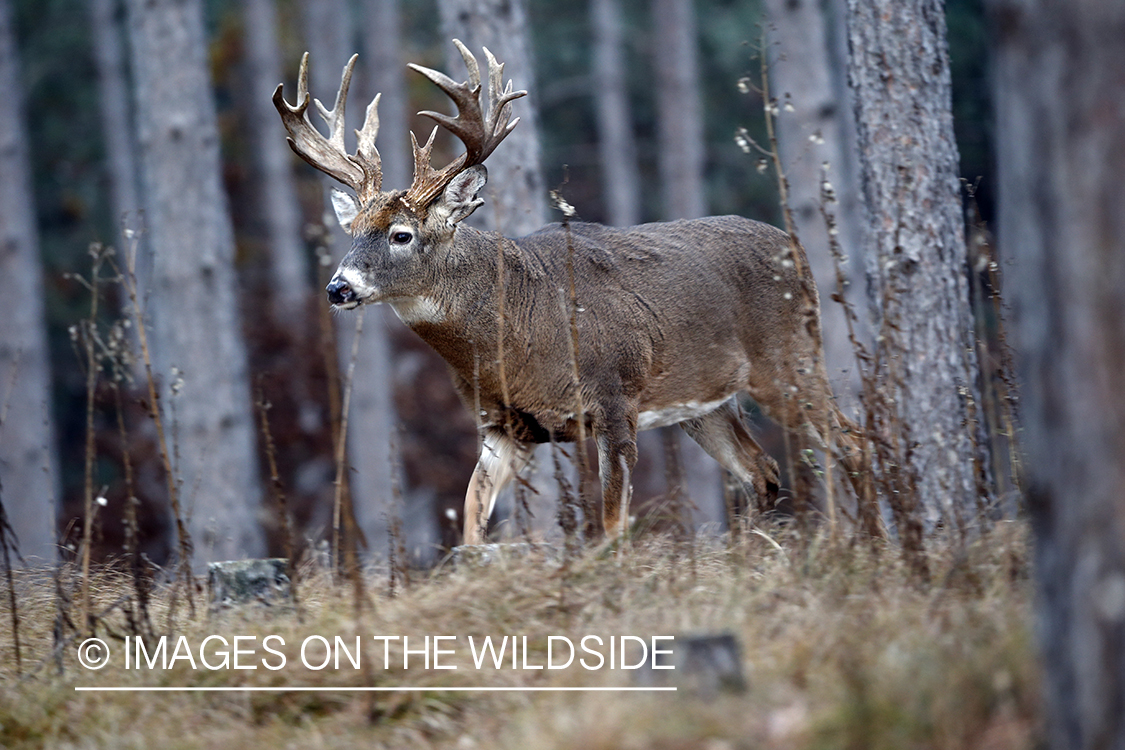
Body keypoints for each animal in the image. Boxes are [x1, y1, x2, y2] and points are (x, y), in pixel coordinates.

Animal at [272, 41, 868, 546]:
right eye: (352, 231)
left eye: (402, 234)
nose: (338, 288)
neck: (517, 338)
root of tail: (795, 250)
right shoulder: (503, 425)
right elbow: (471, 521)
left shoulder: (614, 398)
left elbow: (611, 526)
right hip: (705, 401)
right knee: (762, 471)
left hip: (788, 361)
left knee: (850, 443)